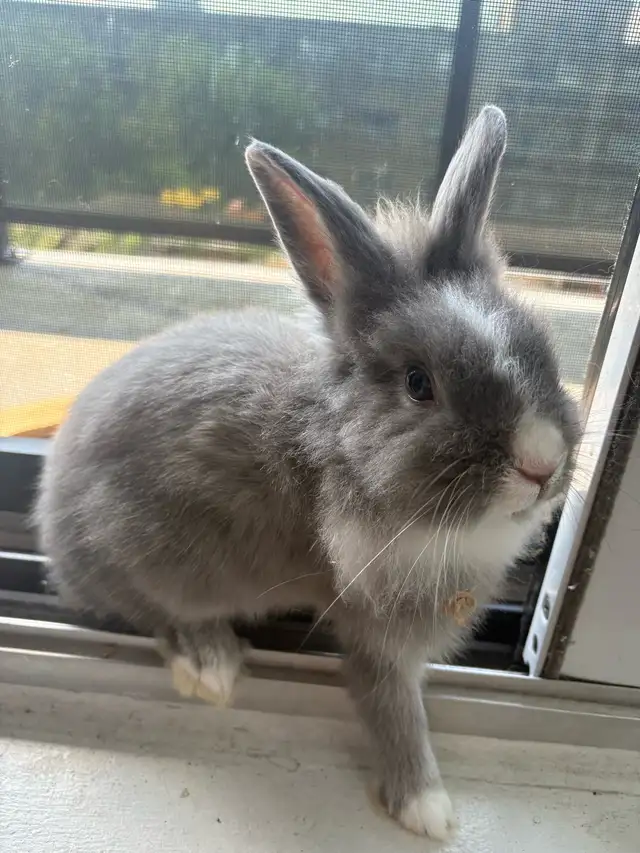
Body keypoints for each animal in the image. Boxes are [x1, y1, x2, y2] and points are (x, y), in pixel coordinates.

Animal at [35, 105, 581, 841]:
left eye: (542, 352)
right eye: (419, 384)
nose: (541, 463)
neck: (338, 453)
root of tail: (49, 521)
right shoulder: (376, 633)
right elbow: (392, 708)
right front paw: (428, 810)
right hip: (142, 549)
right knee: (142, 607)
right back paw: (210, 661)